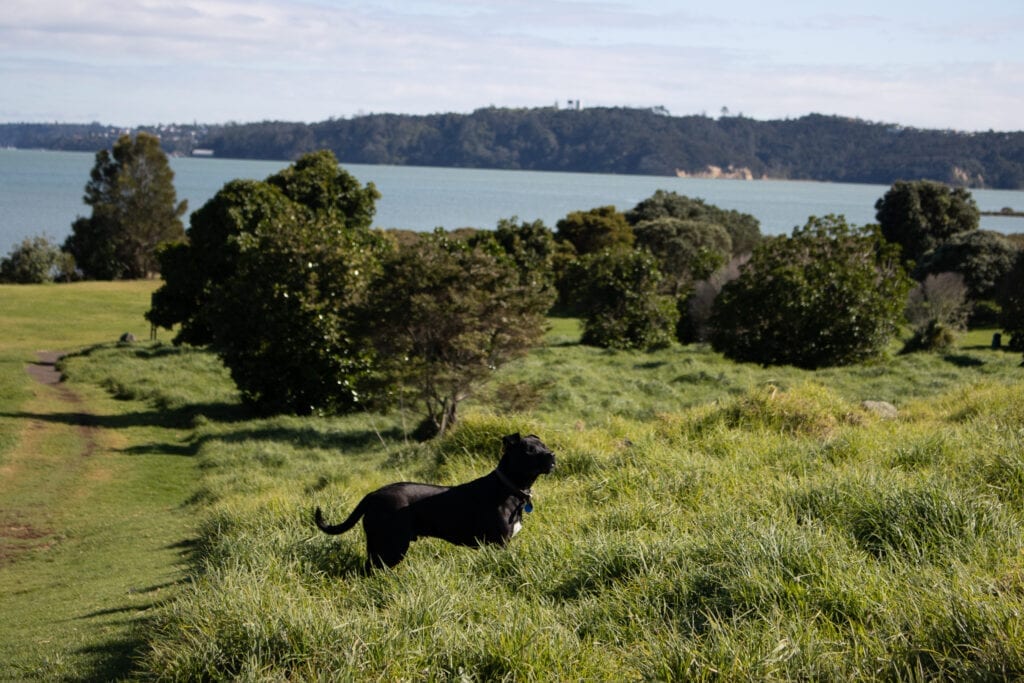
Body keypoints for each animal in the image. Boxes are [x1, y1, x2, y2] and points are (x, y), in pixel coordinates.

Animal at [313, 432, 557, 573]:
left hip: (379, 545)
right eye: (530, 451)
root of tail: (373, 494)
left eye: (544, 446)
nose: (552, 455)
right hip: (391, 546)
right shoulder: (499, 544)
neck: (509, 488)